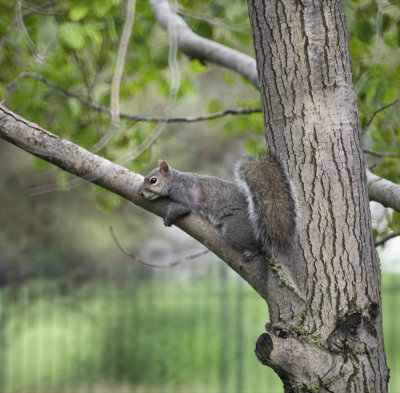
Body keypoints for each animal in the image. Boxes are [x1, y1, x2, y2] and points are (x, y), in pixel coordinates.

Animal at [139, 155, 296, 258]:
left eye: (153, 180)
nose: (140, 193)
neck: (174, 181)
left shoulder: (185, 197)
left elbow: (181, 208)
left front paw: (168, 219)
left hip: (235, 229)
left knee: (255, 246)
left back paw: (252, 251)